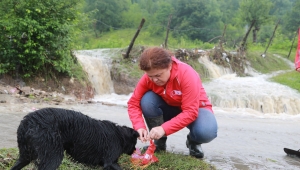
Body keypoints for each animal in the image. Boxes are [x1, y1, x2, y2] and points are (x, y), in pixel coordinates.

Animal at [10, 108, 139, 169]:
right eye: (135, 142)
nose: (134, 151)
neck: (120, 135)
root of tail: (28, 122)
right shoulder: (110, 162)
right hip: (53, 156)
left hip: (25, 156)